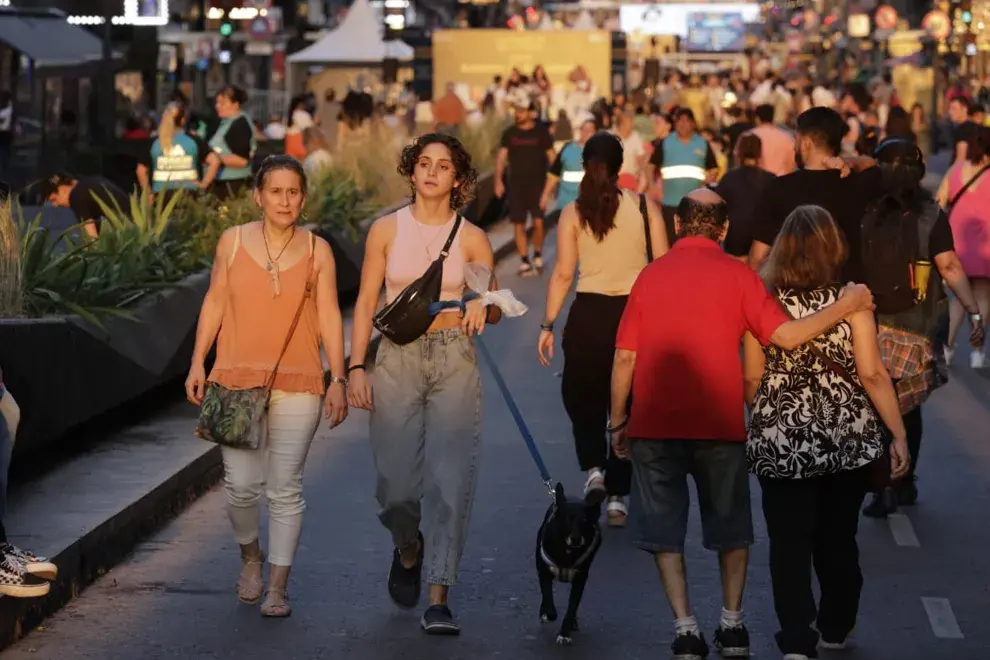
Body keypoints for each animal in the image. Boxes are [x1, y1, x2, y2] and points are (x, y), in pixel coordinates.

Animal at [536, 482, 604, 640]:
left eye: (585, 520)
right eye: (568, 518)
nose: (576, 539)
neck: (567, 550)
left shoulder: (580, 579)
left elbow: (572, 606)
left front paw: (564, 633)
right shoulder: (543, 570)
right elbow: (547, 594)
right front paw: (549, 613)